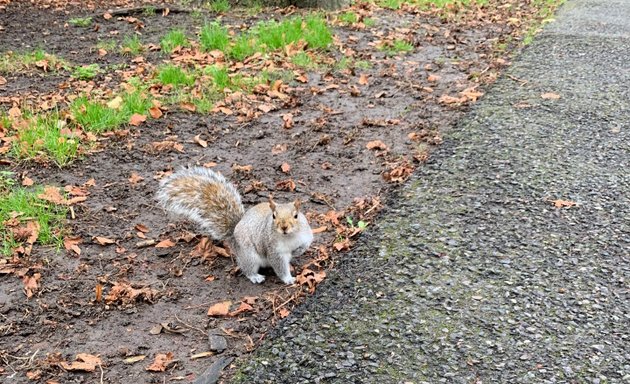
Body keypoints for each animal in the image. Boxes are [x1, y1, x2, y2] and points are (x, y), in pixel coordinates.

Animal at [157, 166, 314, 284]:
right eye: (274, 216)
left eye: (296, 215)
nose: (284, 227)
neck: (289, 237)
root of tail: (233, 235)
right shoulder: (273, 250)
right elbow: (279, 266)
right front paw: (288, 279)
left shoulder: (305, 234)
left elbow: (306, 244)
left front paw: (298, 251)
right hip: (248, 255)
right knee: (248, 269)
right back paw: (255, 276)